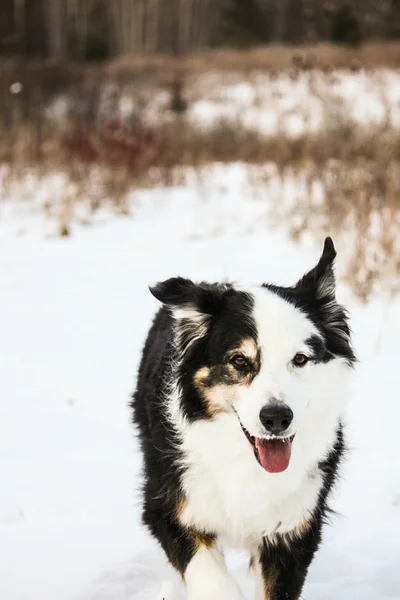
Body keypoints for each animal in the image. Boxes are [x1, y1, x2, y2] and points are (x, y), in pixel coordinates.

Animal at [132, 239, 356, 600]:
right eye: (239, 360)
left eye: (300, 359)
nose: (277, 418)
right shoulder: (168, 508)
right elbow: (214, 580)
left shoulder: (293, 529)